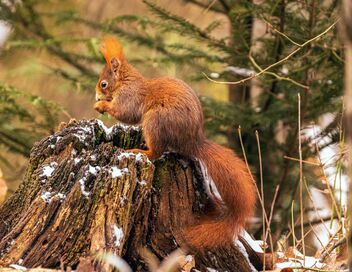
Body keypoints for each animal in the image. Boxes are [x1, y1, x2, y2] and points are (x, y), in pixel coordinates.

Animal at [94, 37, 256, 250]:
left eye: (103, 84)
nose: (96, 95)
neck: (125, 81)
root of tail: (192, 141)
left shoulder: (129, 97)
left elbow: (124, 113)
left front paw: (101, 105)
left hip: (155, 121)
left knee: (157, 151)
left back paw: (142, 151)